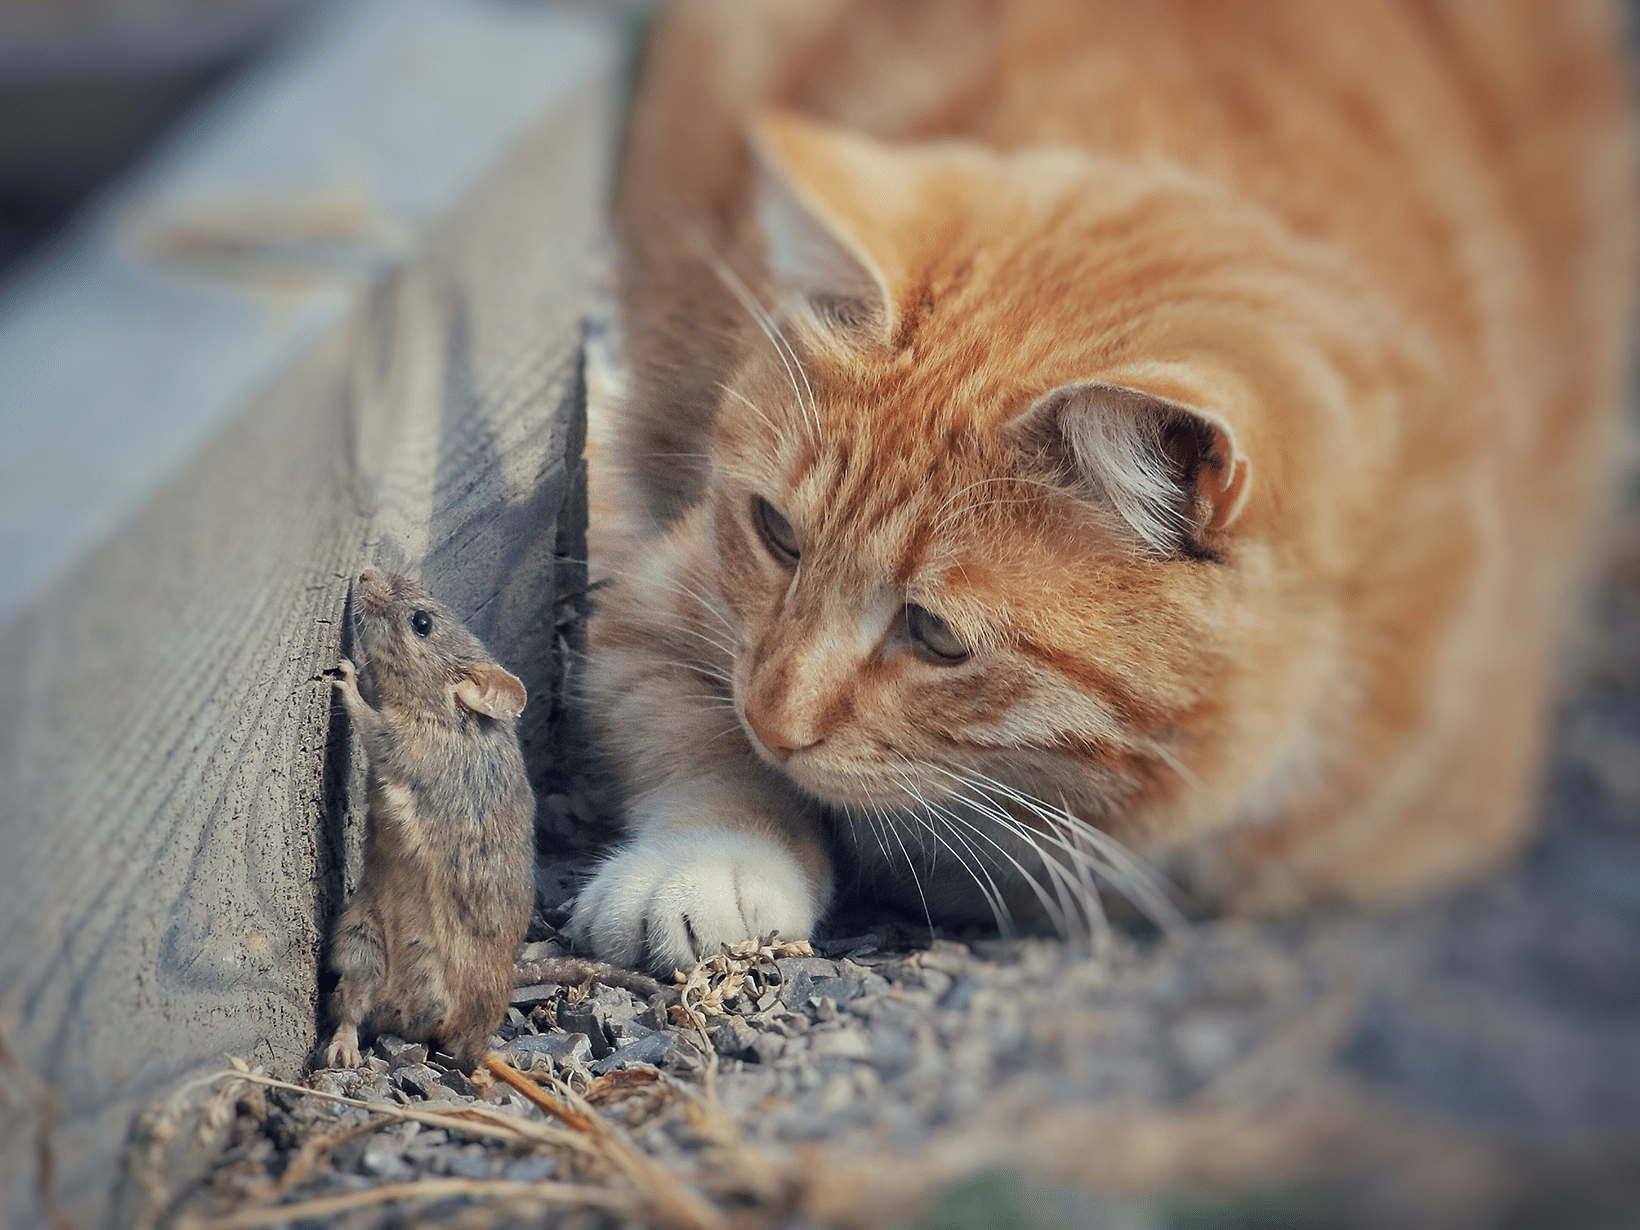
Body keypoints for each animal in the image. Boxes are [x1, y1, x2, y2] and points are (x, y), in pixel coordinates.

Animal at [570, 0, 1633, 977]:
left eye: (936, 635)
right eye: (777, 534)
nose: (772, 718)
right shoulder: (659, 603)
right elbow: (691, 732)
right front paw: (709, 859)